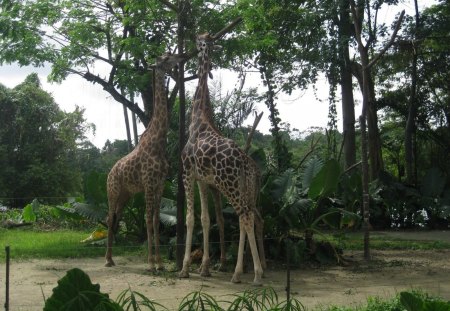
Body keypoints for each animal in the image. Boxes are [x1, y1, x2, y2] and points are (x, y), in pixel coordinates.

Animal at [104, 52, 185, 272]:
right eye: (166, 57)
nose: (182, 57)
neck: (158, 143)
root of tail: (110, 172)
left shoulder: (159, 184)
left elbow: (156, 220)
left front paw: (160, 263)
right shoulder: (149, 183)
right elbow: (147, 218)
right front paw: (150, 263)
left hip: (126, 195)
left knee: (115, 219)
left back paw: (111, 259)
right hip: (113, 192)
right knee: (109, 218)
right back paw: (107, 259)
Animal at [178, 33, 264, 286]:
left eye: (199, 40)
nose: (194, 42)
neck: (197, 120)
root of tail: (245, 162)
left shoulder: (186, 173)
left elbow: (190, 218)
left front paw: (185, 268)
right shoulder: (203, 180)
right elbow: (206, 219)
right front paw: (204, 268)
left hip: (230, 185)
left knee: (246, 217)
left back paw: (254, 274)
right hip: (240, 187)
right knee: (246, 218)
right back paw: (241, 272)